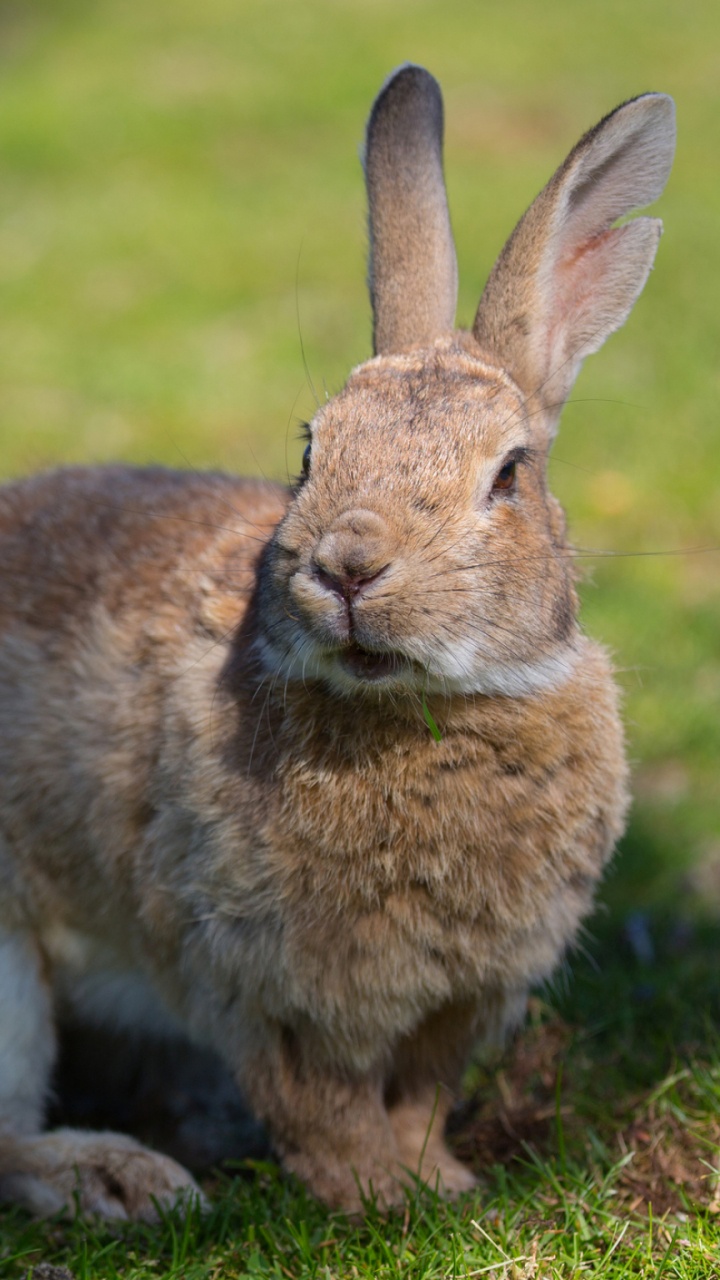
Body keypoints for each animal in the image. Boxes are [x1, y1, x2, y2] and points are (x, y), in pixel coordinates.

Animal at [0, 64, 675, 1219]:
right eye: (312, 448)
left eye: (508, 475)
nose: (350, 565)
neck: (420, 715)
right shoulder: (264, 985)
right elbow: (324, 1105)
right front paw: (373, 1197)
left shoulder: (461, 1000)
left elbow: (417, 1097)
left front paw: (440, 1182)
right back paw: (122, 1180)